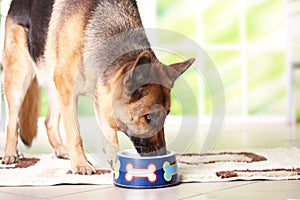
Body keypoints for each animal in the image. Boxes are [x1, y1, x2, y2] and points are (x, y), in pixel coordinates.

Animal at [1, 0, 195, 175]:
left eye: (166, 115)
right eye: (148, 117)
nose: (161, 155)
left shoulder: (100, 95)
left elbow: (110, 136)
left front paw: (115, 163)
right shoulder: (69, 89)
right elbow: (74, 133)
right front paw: (80, 164)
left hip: (54, 87)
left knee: (49, 121)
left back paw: (62, 151)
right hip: (19, 79)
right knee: (12, 122)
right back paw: (10, 154)